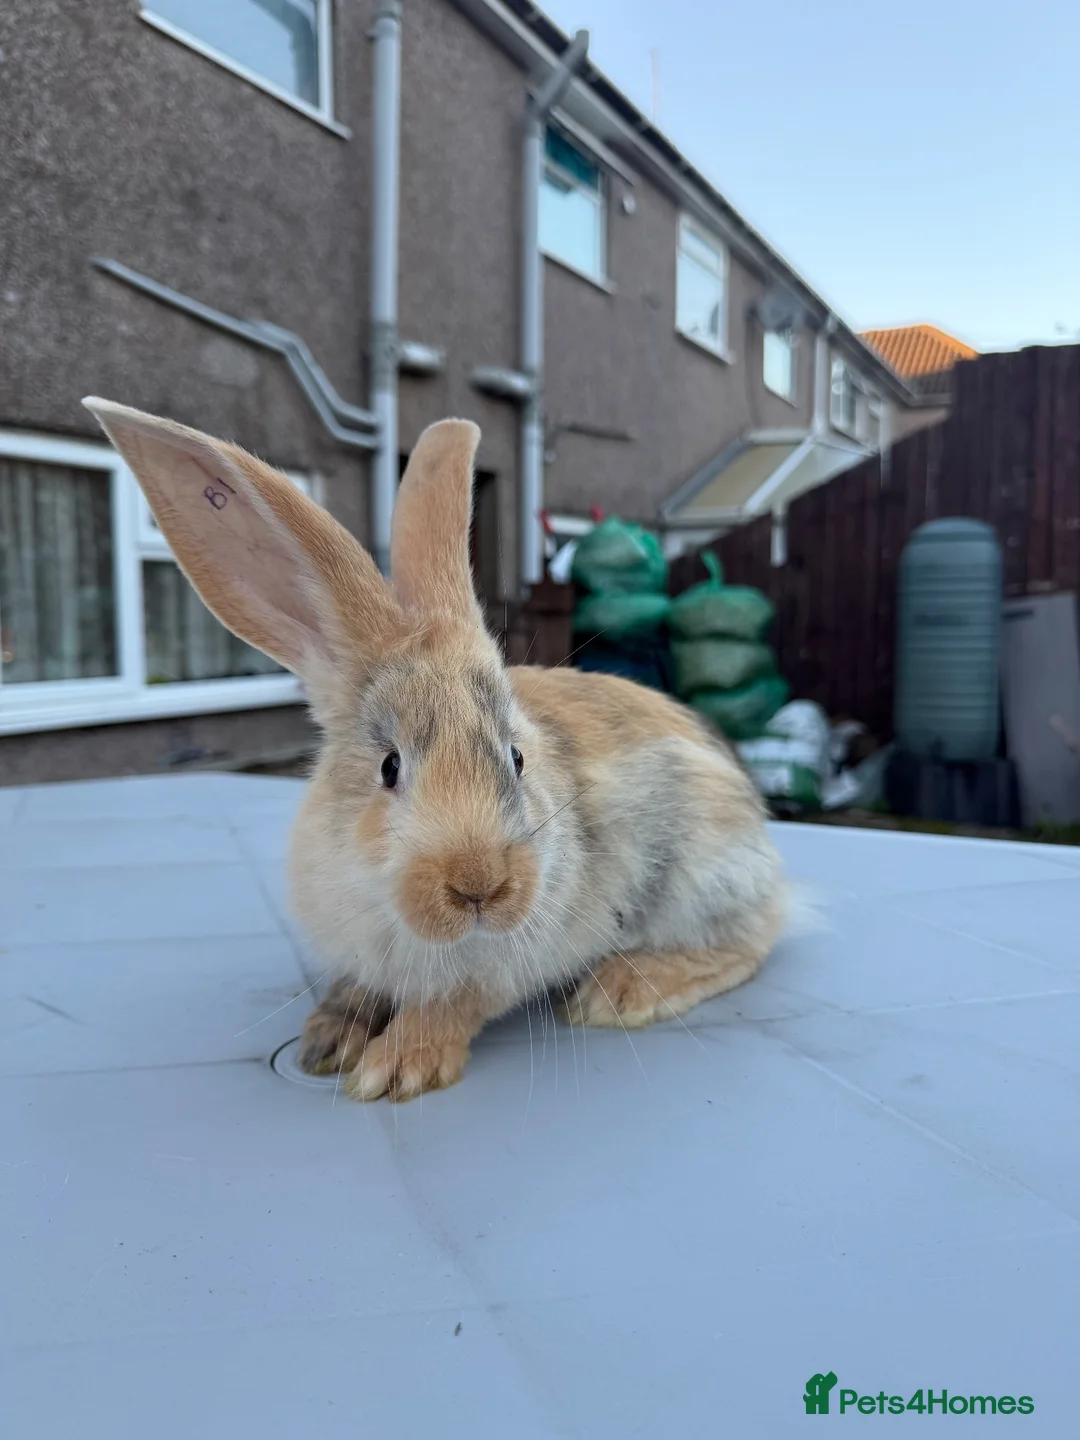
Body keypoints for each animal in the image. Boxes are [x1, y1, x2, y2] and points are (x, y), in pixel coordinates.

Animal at [84, 397, 788, 1102]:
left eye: (516, 759)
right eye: (389, 767)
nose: (480, 887)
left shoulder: (503, 968)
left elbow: (454, 1005)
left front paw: (396, 1068)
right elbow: (361, 991)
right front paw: (327, 1038)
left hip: (704, 877)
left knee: (754, 941)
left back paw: (620, 993)